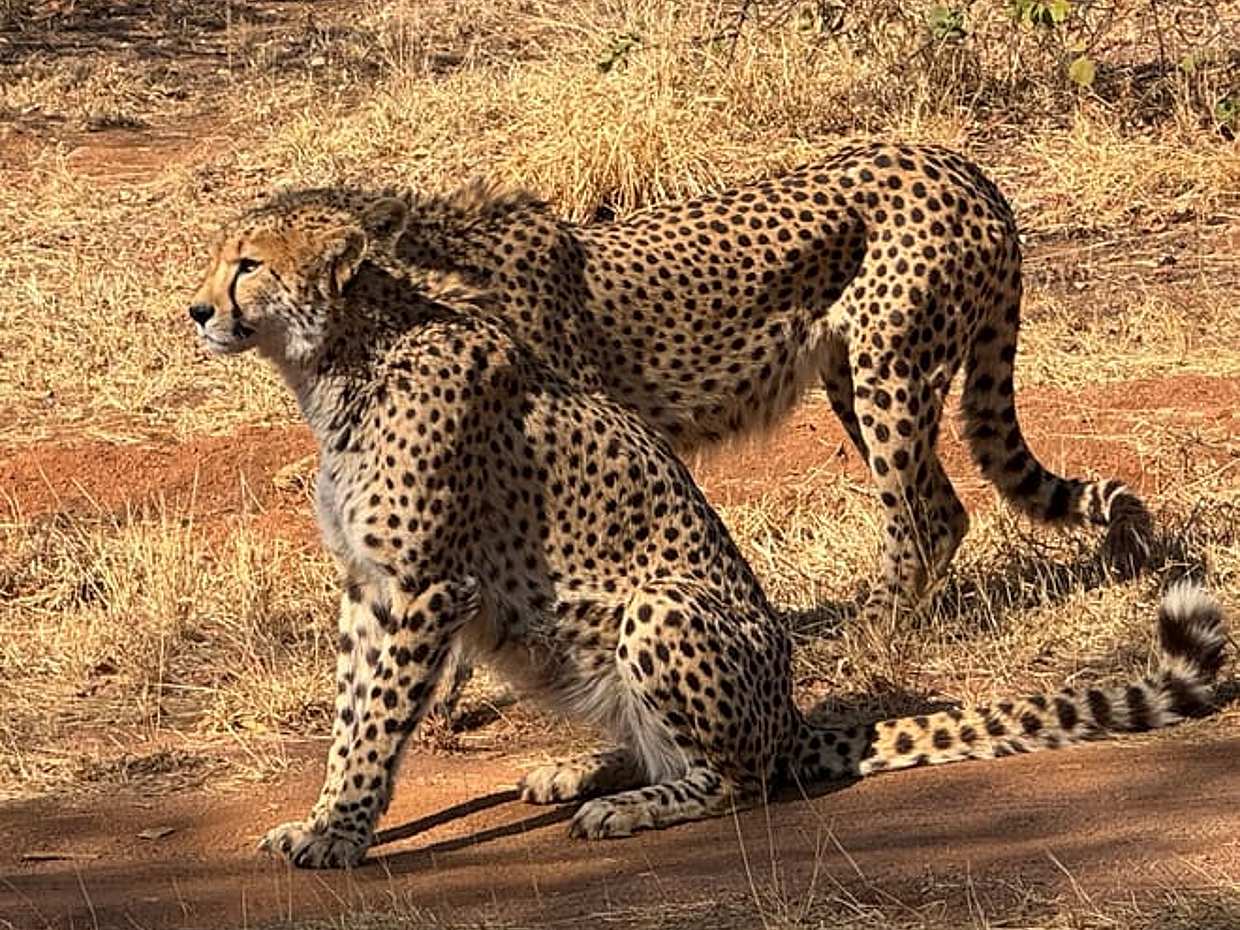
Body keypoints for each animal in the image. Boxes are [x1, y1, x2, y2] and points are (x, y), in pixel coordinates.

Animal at [186, 187, 1227, 870]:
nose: (196, 309)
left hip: (669, 594)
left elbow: (376, 721)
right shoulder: (370, 588)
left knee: (737, 776)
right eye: (216, 257)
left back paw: (628, 807)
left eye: (249, 263)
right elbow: (350, 715)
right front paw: (324, 817)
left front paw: (340, 834)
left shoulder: (423, 586)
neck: (341, 357)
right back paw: (580, 769)